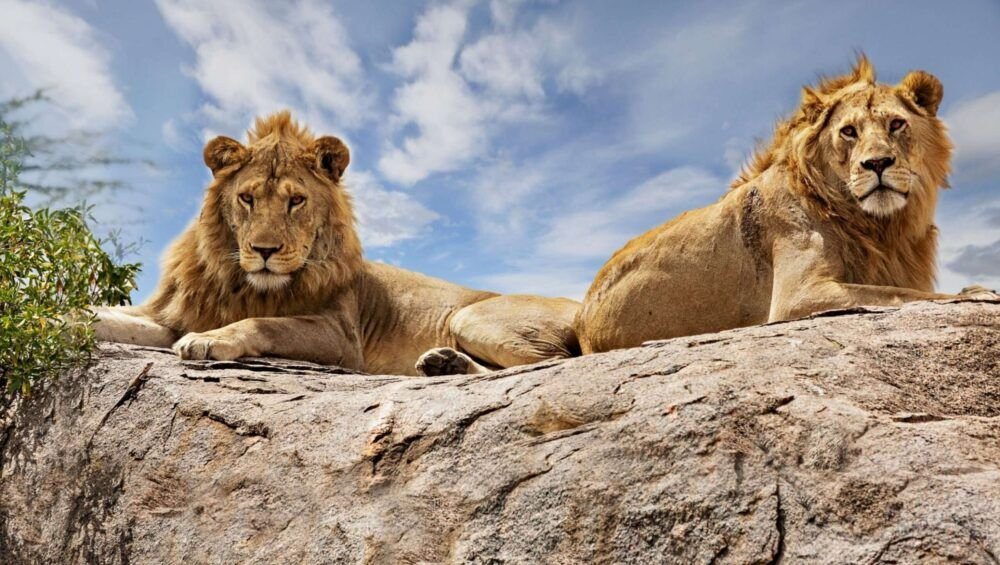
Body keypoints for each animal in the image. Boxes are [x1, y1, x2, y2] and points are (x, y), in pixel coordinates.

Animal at [95, 110, 580, 374]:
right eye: (247, 198)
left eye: (296, 201)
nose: (265, 252)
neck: (239, 280)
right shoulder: (172, 314)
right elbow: (113, 318)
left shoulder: (341, 337)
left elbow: (263, 323)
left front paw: (209, 340)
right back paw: (445, 364)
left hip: (471, 316)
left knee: (553, 362)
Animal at [576, 54, 996, 352]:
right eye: (848, 131)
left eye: (896, 124)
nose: (877, 163)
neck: (880, 226)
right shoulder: (798, 295)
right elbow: (905, 296)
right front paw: (979, 293)